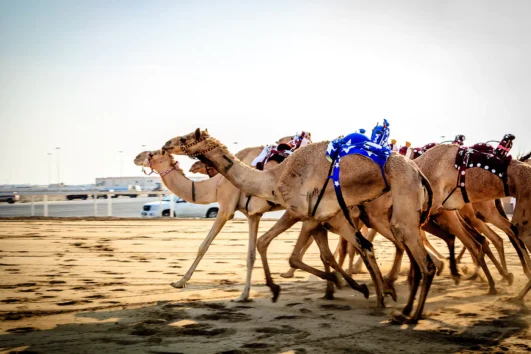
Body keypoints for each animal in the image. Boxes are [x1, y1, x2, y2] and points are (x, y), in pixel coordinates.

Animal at [163, 128, 436, 324]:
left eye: (186, 137)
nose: (166, 144)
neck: (274, 178)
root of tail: (418, 172)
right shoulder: (325, 215)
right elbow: (339, 251)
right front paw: (356, 288)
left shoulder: (303, 212)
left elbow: (272, 246)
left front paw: (275, 288)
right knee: (390, 250)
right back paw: (392, 300)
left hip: (400, 206)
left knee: (423, 261)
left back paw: (410, 315)